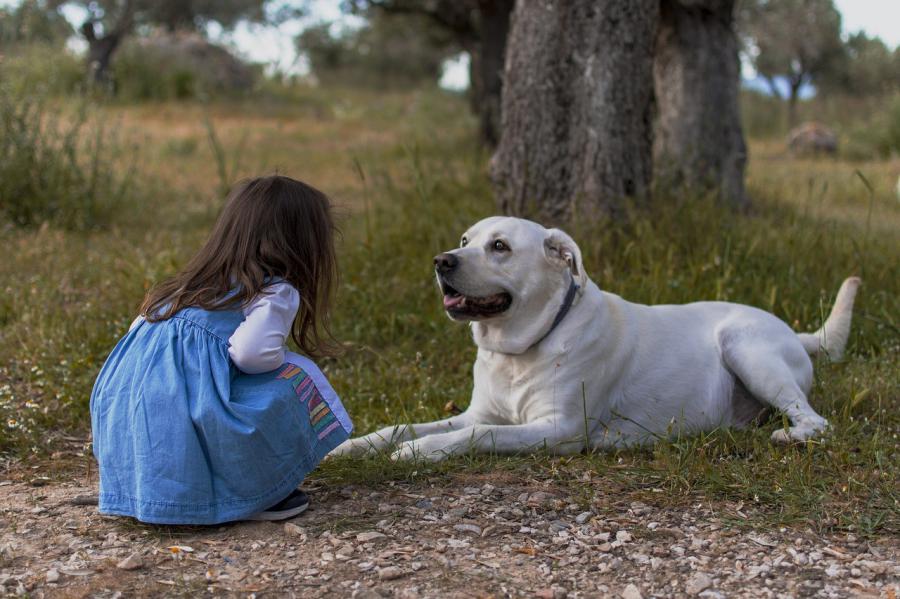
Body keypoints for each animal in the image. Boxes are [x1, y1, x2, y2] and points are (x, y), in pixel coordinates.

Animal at [330, 218, 856, 462]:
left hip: (746, 347)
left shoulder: (558, 429)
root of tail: (795, 332)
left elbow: (480, 436)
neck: (521, 350)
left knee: (816, 420)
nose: (442, 261)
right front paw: (354, 446)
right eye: (464, 240)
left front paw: (422, 452)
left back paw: (790, 435)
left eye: (499, 246)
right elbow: (402, 426)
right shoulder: (478, 412)